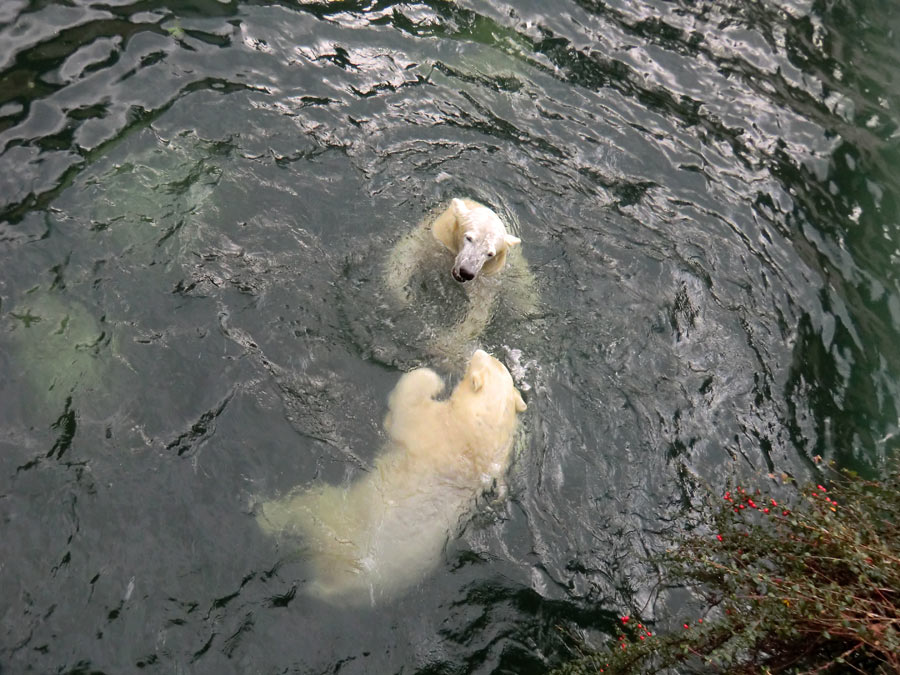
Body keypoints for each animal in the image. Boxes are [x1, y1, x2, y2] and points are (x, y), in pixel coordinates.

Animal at [255, 352, 528, 608]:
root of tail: (331, 583)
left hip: (342, 522)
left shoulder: (434, 430)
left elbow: (407, 408)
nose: (480, 352)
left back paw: (267, 515)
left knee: (308, 505)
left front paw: (433, 381)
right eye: (495, 364)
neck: (474, 444)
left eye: (482, 366)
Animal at [384, 199, 536, 370]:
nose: (466, 272)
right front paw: (402, 296)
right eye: (469, 238)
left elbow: (478, 312)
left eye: (490, 253)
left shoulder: (486, 278)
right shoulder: (435, 238)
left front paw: (445, 344)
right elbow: (407, 252)